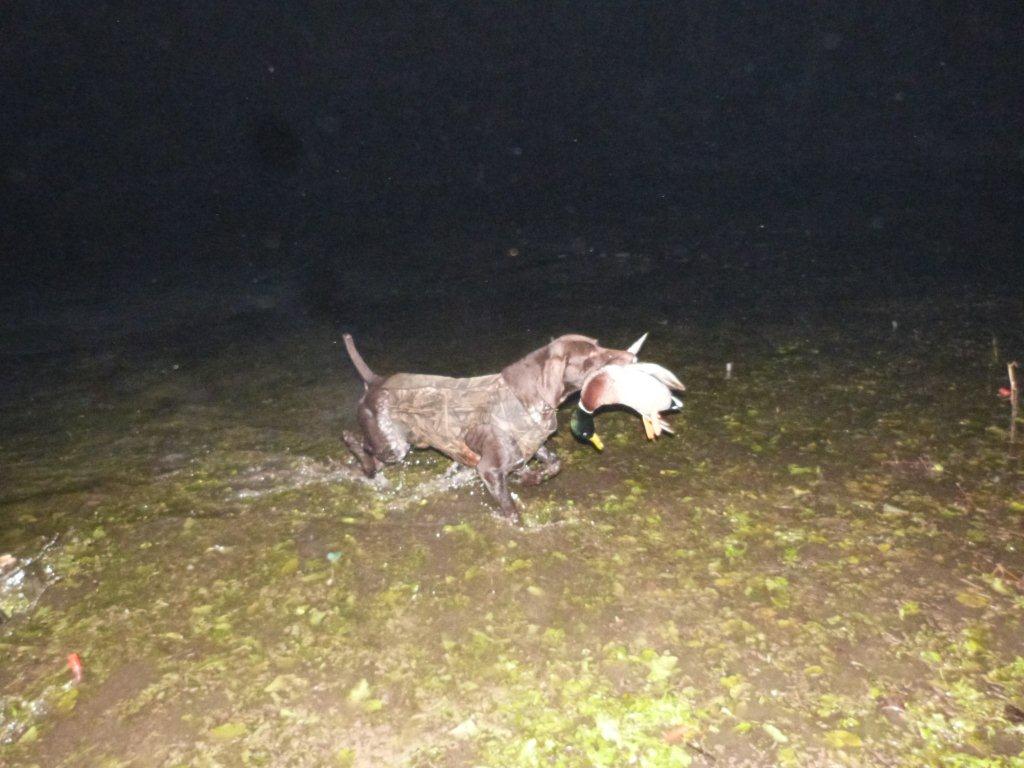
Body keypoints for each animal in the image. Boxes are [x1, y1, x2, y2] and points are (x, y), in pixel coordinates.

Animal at [342, 333, 643, 523]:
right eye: (591, 357)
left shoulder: (530, 446)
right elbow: (511, 509)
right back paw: (357, 453)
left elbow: (554, 463)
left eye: (600, 345)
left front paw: (531, 478)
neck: (526, 397)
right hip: (392, 446)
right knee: (360, 445)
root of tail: (376, 380)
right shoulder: (489, 468)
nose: (633, 358)